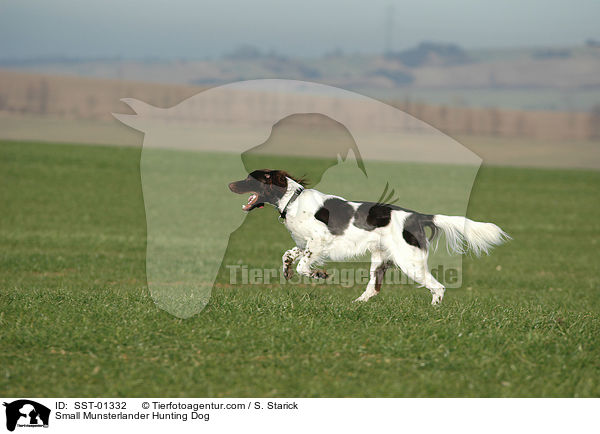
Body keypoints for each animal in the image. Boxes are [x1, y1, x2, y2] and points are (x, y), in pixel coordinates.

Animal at [227, 168, 508, 304]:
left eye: (249, 178)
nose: (229, 184)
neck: (292, 200)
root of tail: (417, 217)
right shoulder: (304, 243)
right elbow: (289, 255)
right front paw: (287, 270)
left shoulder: (319, 240)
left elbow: (303, 266)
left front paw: (319, 275)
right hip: (380, 260)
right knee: (373, 289)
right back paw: (355, 305)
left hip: (410, 263)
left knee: (437, 287)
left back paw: (433, 312)